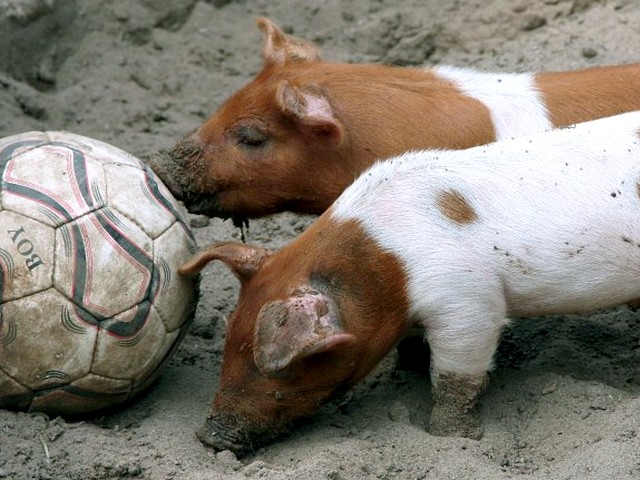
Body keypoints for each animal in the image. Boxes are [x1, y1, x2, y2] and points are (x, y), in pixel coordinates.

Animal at [180, 110, 640, 455]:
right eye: (229, 342)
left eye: (277, 369)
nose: (208, 437)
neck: (385, 266)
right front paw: (409, 369)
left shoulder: (469, 303)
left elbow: (455, 377)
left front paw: (450, 437)